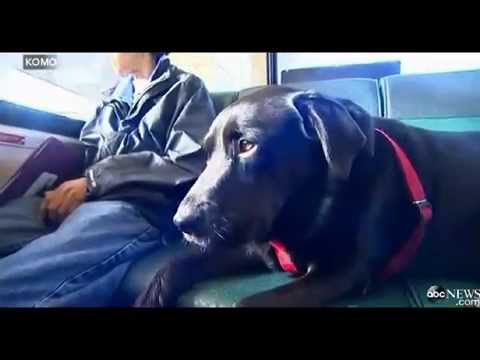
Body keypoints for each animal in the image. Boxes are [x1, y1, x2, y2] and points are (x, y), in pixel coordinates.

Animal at [134, 85, 480, 306]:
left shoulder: (342, 271)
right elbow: (172, 266)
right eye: (206, 154)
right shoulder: (255, 248)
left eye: (246, 145)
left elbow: (246, 303)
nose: (181, 222)